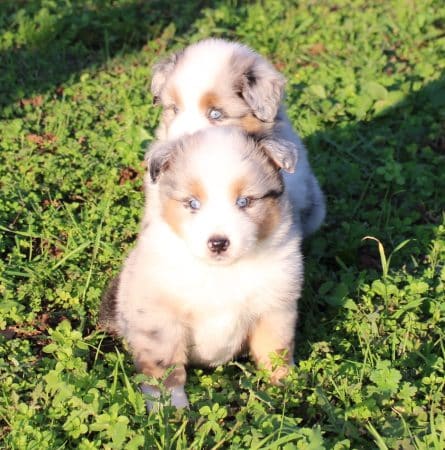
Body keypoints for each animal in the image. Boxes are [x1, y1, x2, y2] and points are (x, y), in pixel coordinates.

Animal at [110, 126, 302, 408]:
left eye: (244, 202)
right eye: (193, 204)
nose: (218, 243)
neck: (221, 271)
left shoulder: (275, 308)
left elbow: (275, 351)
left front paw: (286, 389)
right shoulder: (159, 317)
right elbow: (165, 368)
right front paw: (169, 408)